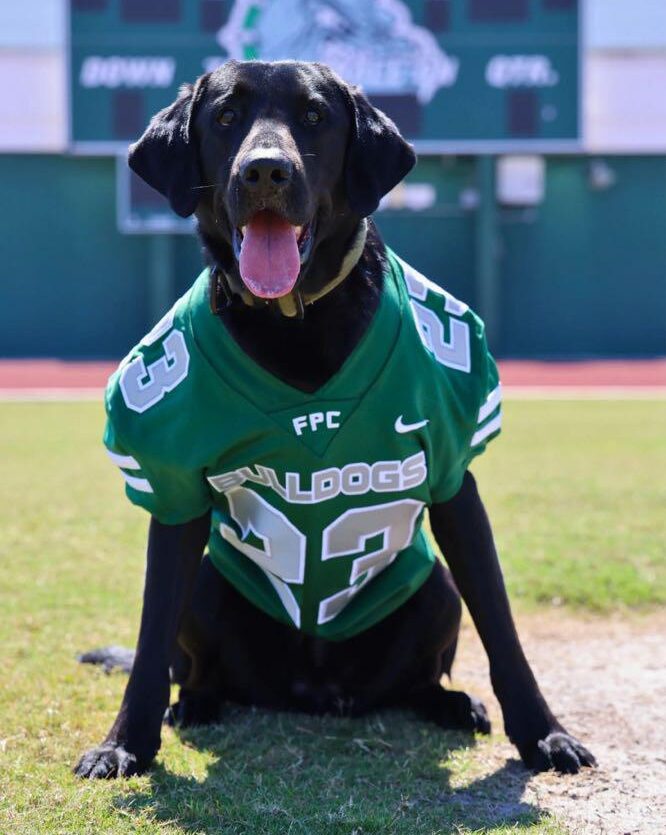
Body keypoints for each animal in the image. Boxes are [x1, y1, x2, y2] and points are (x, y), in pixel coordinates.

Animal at [75, 62, 592, 780]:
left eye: (315, 116)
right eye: (226, 118)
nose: (266, 170)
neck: (296, 315)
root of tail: (315, 691)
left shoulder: (456, 482)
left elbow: (500, 621)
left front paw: (544, 732)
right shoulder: (173, 496)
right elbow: (151, 639)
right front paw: (124, 742)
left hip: (434, 587)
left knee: (421, 675)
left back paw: (452, 704)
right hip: (209, 578)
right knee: (196, 667)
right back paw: (197, 703)